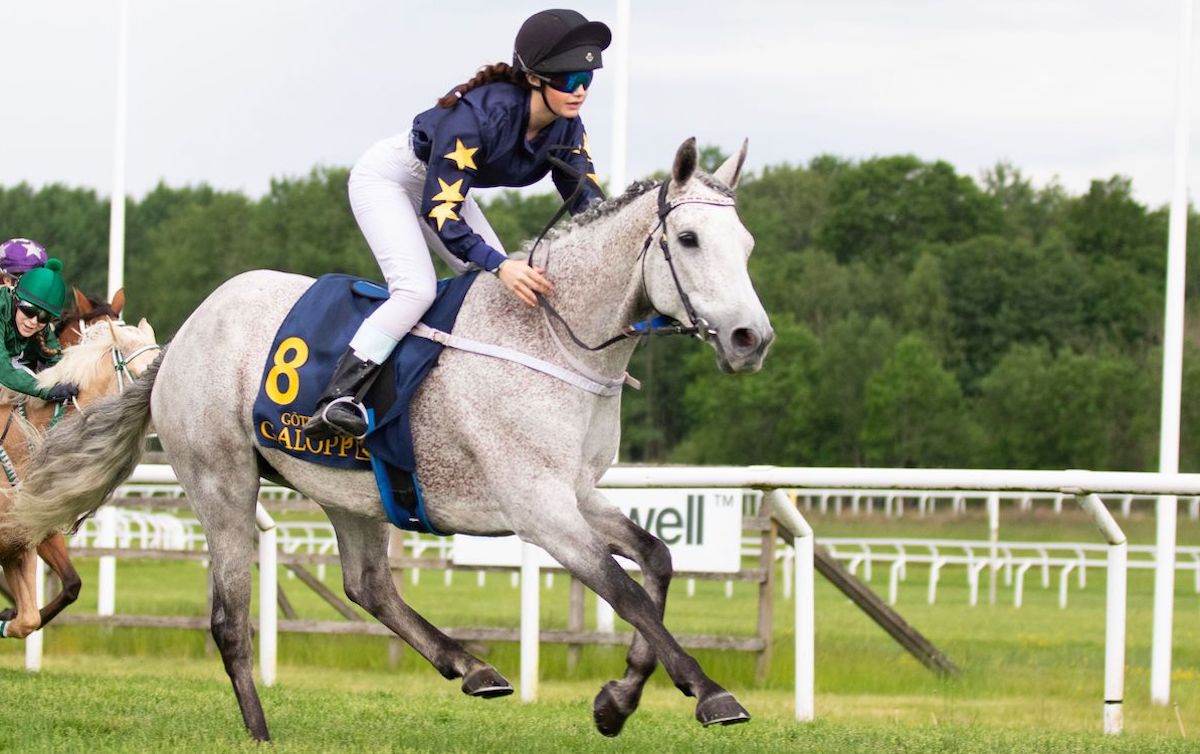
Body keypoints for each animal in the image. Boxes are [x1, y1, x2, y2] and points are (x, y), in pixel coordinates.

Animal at [9, 138, 772, 739]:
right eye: (689, 240)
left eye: (748, 246)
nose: (751, 339)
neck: (551, 339)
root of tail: (183, 338)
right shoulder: (539, 507)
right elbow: (627, 593)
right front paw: (709, 692)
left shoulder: (576, 493)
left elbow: (658, 560)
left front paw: (618, 700)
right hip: (222, 481)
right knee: (230, 618)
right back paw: (260, 730)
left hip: (346, 486)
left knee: (368, 584)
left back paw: (471, 666)